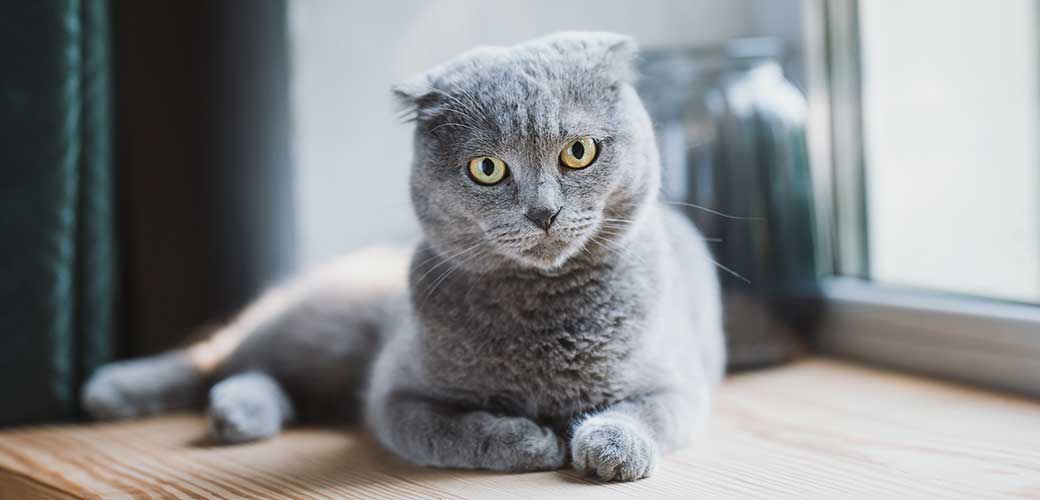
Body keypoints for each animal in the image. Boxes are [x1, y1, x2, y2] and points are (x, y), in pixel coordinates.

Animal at [81, 30, 723, 480]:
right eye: (486, 168)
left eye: (579, 152)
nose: (543, 213)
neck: (545, 310)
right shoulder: (396, 394)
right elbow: (452, 431)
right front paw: (527, 440)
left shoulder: (677, 381)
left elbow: (645, 411)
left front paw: (611, 448)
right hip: (323, 329)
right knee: (219, 358)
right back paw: (117, 391)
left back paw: (240, 414)